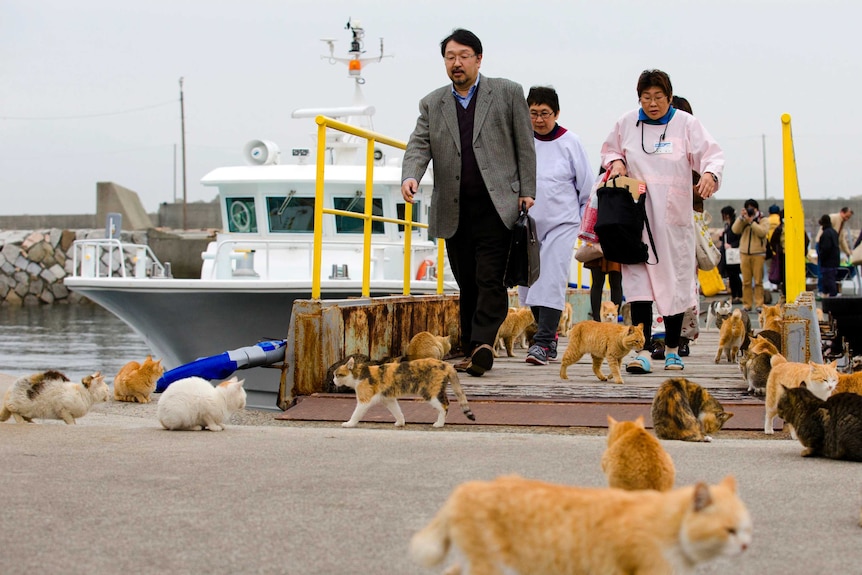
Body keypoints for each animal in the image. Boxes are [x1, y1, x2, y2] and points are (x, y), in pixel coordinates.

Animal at [334, 356, 476, 428]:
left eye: (337, 375)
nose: (333, 380)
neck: (359, 374)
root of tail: (446, 364)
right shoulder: (388, 399)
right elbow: (397, 411)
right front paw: (400, 422)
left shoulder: (364, 400)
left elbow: (356, 414)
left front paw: (349, 423)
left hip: (430, 392)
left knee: (444, 406)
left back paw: (439, 424)